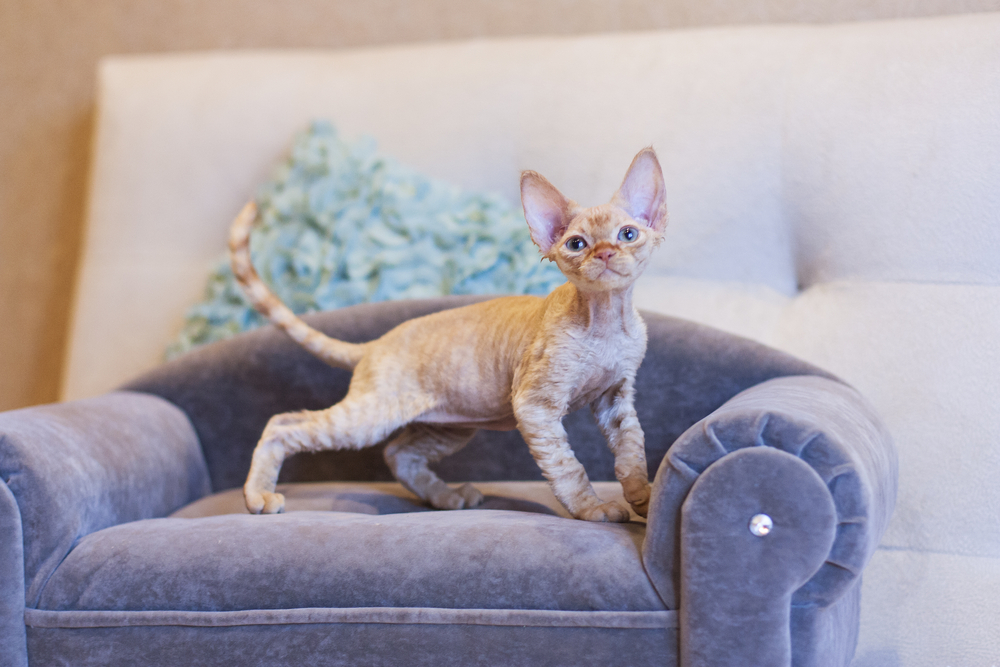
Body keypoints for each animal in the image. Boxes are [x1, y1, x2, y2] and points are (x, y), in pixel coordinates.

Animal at [230, 149, 668, 524]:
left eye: (628, 234)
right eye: (577, 243)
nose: (605, 253)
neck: (607, 321)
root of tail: (376, 344)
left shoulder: (615, 397)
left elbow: (632, 450)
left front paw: (644, 500)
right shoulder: (535, 406)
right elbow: (568, 466)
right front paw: (593, 509)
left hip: (450, 424)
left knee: (398, 453)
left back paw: (446, 497)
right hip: (372, 417)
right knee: (283, 424)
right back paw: (258, 497)